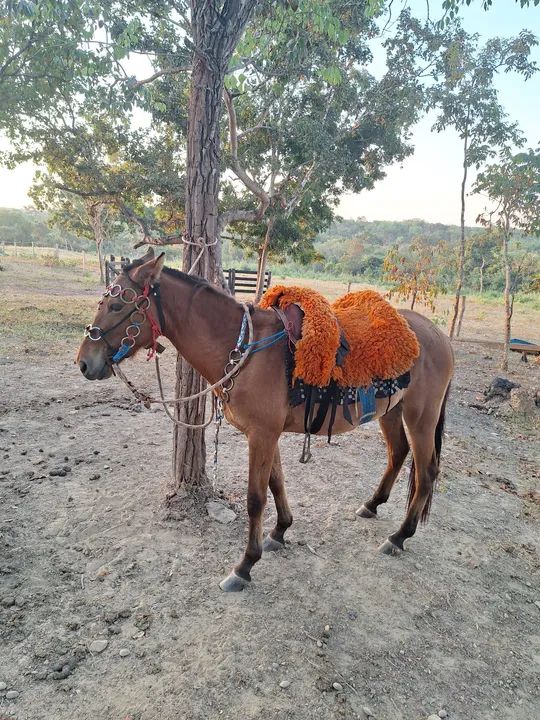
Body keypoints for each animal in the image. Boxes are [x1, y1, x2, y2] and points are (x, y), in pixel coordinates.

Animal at [77, 249, 454, 592]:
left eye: (116, 306)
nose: (84, 362)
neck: (245, 349)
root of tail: (438, 336)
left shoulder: (261, 435)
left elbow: (255, 498)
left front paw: (245, 565)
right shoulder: (267, 435)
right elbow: (276, 482)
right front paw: (280, 531)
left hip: (420, 417)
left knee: (427, 472)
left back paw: (400, 536)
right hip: (390, 411)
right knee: (398, 454)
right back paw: (373, 505)